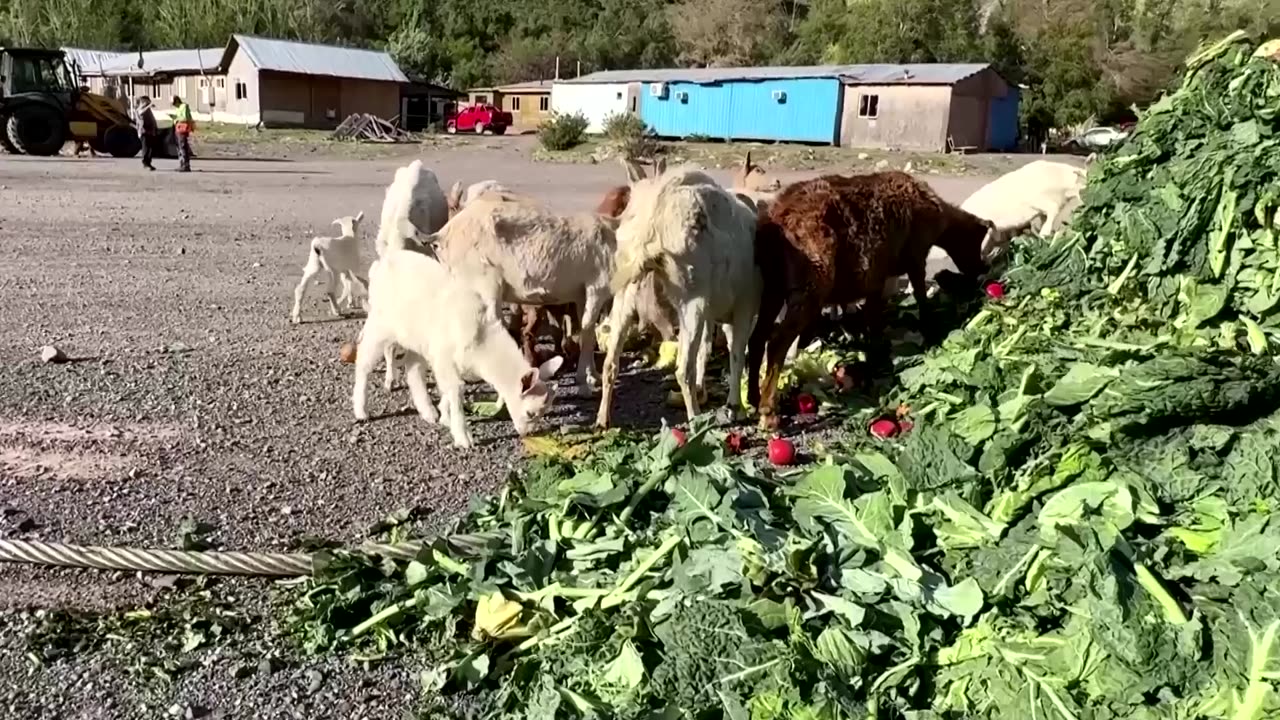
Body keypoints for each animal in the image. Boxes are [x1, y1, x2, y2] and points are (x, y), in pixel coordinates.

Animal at [355, 248, 565, 448]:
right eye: (530, 413)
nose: (527, 434)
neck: (483, 342)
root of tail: (380, 263)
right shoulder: (445, 358)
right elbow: (456, 391)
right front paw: (463, 437)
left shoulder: (449, 363)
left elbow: (448, 390)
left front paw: (444, 416)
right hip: (380, 324)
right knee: (363, 360)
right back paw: (361, 409)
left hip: (417, 338)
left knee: (413, 369)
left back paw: (427, 411)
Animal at [747, 169, 993, 425]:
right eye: (975, 242)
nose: (981, 269)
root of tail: (775, 219)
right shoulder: (915, 255)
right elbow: (919, 294)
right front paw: (928, 326)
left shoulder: (876, 276)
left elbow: (873, 316)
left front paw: (875, 354)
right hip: (811, 281)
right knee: (776, 342)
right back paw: (768, 412)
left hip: (772, 285)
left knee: (756, 339)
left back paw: (753, 398)